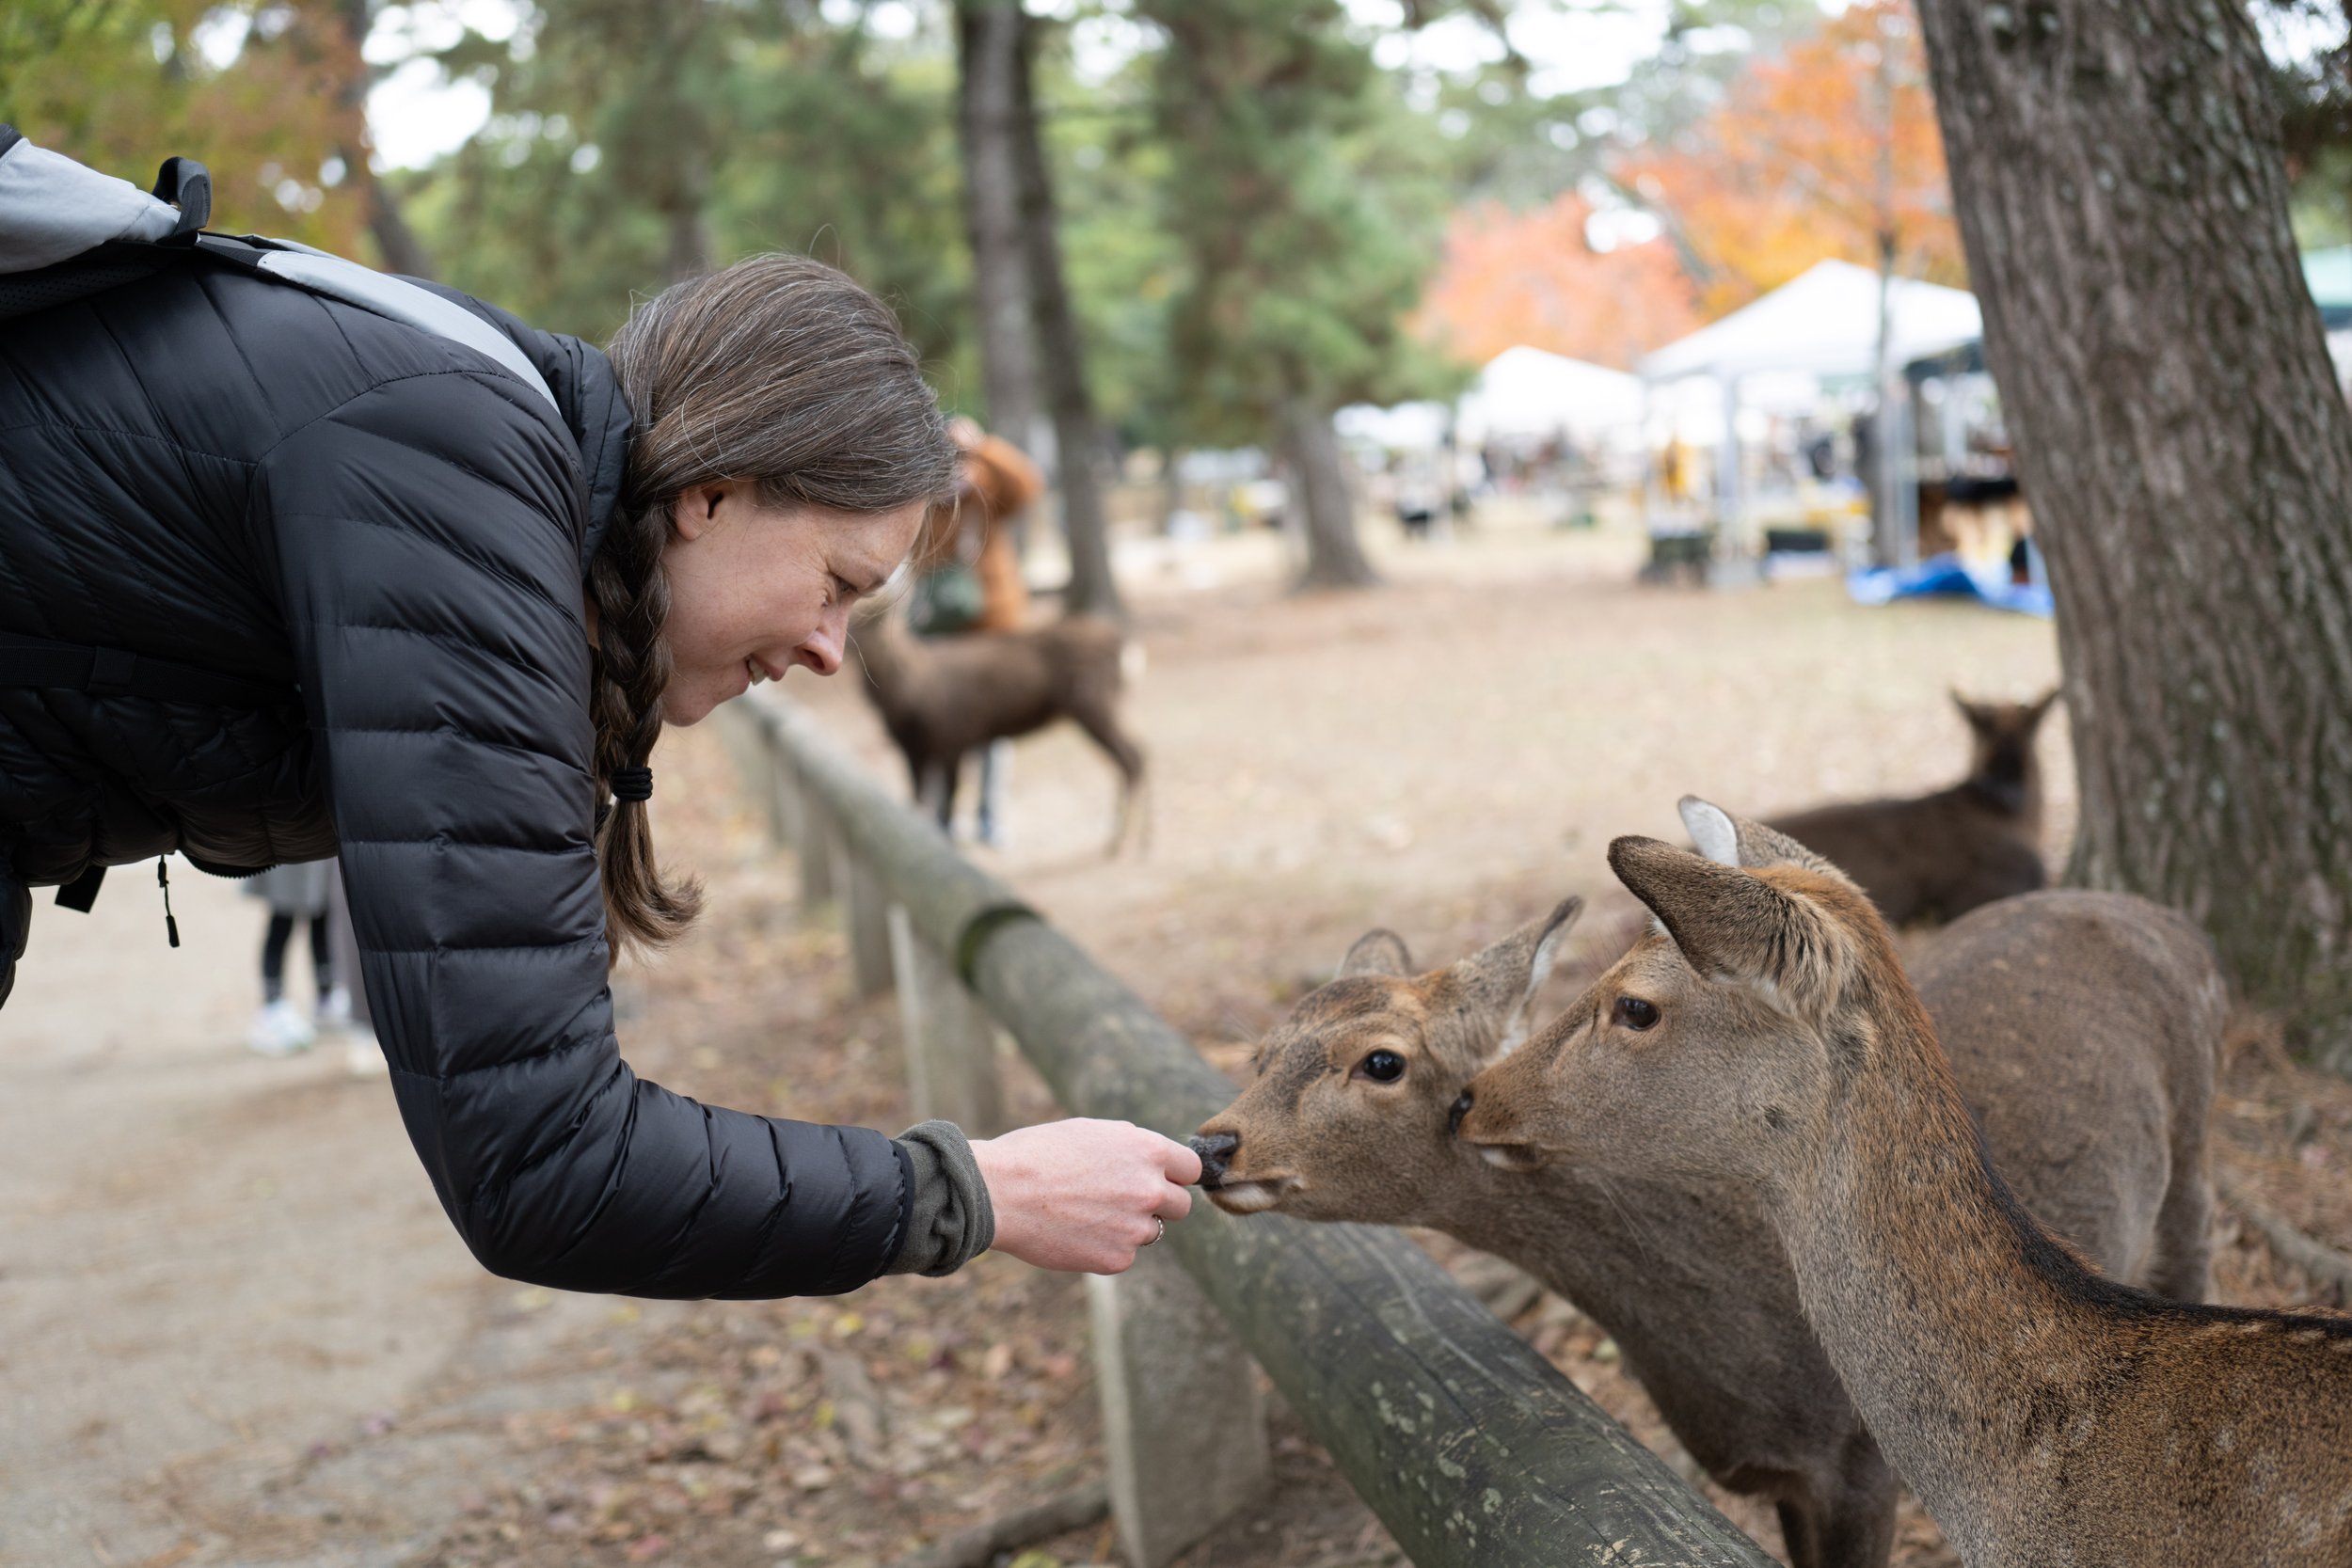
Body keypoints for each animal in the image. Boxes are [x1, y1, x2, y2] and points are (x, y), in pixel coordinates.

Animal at [849, 605, 1146, 855]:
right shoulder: (914, 750)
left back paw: (1122, 842)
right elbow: (918, 800)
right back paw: (1139, 841)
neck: (909, 700)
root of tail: (1125, 648)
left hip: (1093, 702)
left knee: (1130, 757)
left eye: (872, 624)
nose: (855, 647)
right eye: (854, 624)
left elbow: (947, 803)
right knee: (1140, 752)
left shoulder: (953, 738)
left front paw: (948, 845)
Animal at [1191, 879, 2222, 1568]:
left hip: (2194, 1153)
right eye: (1263, 1048)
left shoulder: (1862, 1458)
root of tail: (2171, 916)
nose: (1213, 1143)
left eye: (1382, 1061)